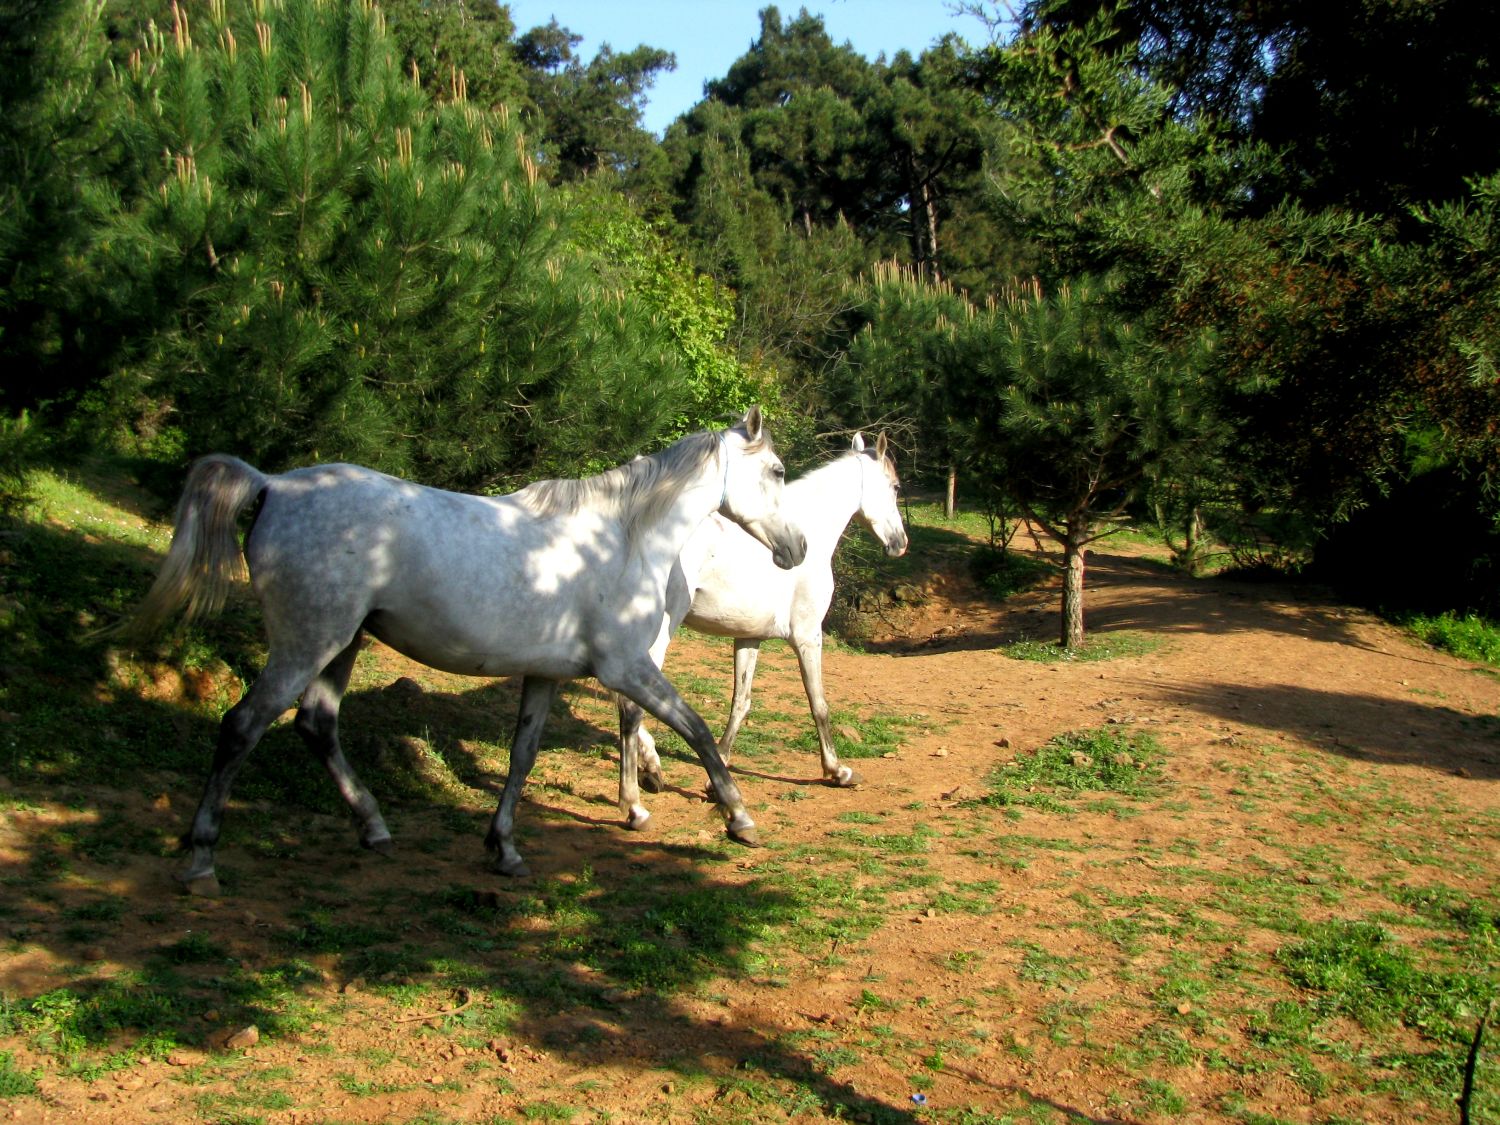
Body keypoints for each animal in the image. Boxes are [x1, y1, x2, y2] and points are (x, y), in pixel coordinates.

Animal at [126, 411, 810, 894]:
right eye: (778, 471)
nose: (797, 548)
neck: (622, 539)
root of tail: (272, 485)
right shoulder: (628, 669)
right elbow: (696, 730)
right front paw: (738, 818)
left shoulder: (546, 674)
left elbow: (521, 756)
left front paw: (503, 849)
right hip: (306, 642)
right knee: (242, 726)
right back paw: (201, 860)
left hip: (340, 643)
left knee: (317, 725)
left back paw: (374, 827)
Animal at [615, 432, 906, 828]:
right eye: (895, 486)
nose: (900, 543)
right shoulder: (808, 637)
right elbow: (819, 704)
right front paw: (837, 771)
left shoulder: (748, 638)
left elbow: (741, 702)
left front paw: (718, 773)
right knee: (630, 700)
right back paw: (646, 778)